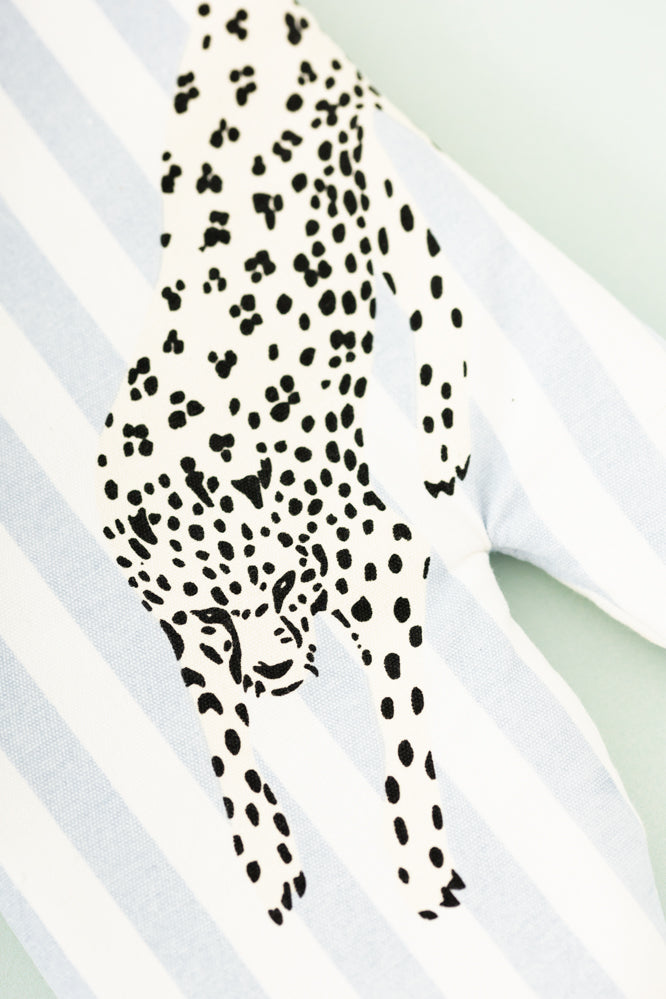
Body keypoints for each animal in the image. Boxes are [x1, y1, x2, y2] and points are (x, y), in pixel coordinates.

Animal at [96, 0, 471, 926]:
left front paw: (420, 856)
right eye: (214, 611)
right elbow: (223, 738)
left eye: (286, 579)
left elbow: (400, 725)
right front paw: (264, 849)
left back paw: (446, 436)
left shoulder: (381, 566)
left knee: (438, 288)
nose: (268, 667)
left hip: (378, 177)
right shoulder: (182, 629)